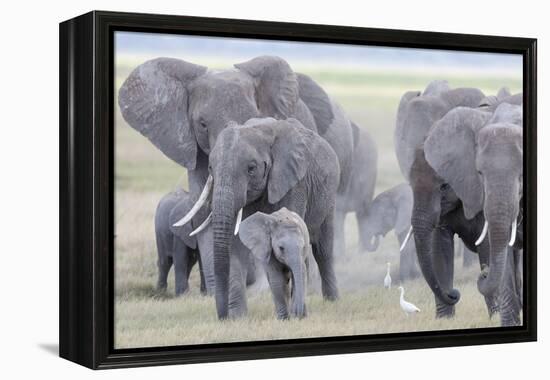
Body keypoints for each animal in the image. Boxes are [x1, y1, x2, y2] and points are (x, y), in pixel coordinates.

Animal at [177, 118, 340, 318]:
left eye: (251, 168)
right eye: (210, 167)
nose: (222, 317)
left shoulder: (295, 183)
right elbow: (235, 244)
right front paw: (238, 317)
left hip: (329, 196)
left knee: (323, 250)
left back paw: (332, 301)